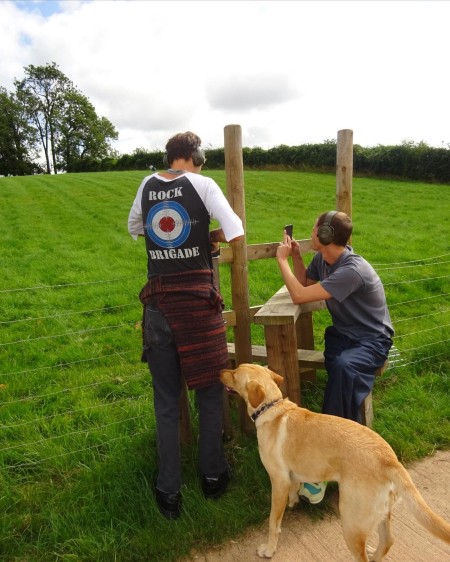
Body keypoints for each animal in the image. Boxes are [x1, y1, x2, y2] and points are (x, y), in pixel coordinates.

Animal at [221, 360, 450, 556]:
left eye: (234, 374)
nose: (220, 371)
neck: (272, 407)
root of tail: (390, 460)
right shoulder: (290, 477)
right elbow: (294, 489)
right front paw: (293, 501)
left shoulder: (278, 481)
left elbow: (273, 523)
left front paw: (269, 550)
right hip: (381, 514)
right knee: (387, 542)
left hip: (350, 522)